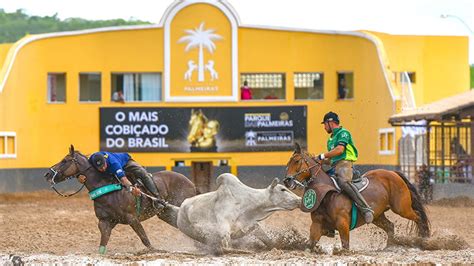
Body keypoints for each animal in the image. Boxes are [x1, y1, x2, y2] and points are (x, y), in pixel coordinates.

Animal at [44, 145, 196, 254]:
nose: (47, 174)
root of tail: (190, 182)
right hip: (166, 213)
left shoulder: (132, 219)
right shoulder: (105, 222)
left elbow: (144, 239)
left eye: (64, 161)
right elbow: (103, 244)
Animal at [284, 143, 432, 249]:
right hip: (378, 215)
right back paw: (389, 247)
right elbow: (310, 245)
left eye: (297, 161)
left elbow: (345, 246)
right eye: (288, 162)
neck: (327, 194)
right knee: (390, 226)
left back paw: (424, 240)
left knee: (418, 217)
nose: (287, 180)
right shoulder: (316, 225)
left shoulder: (343, 224)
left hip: (402, 208)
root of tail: (393, 173)